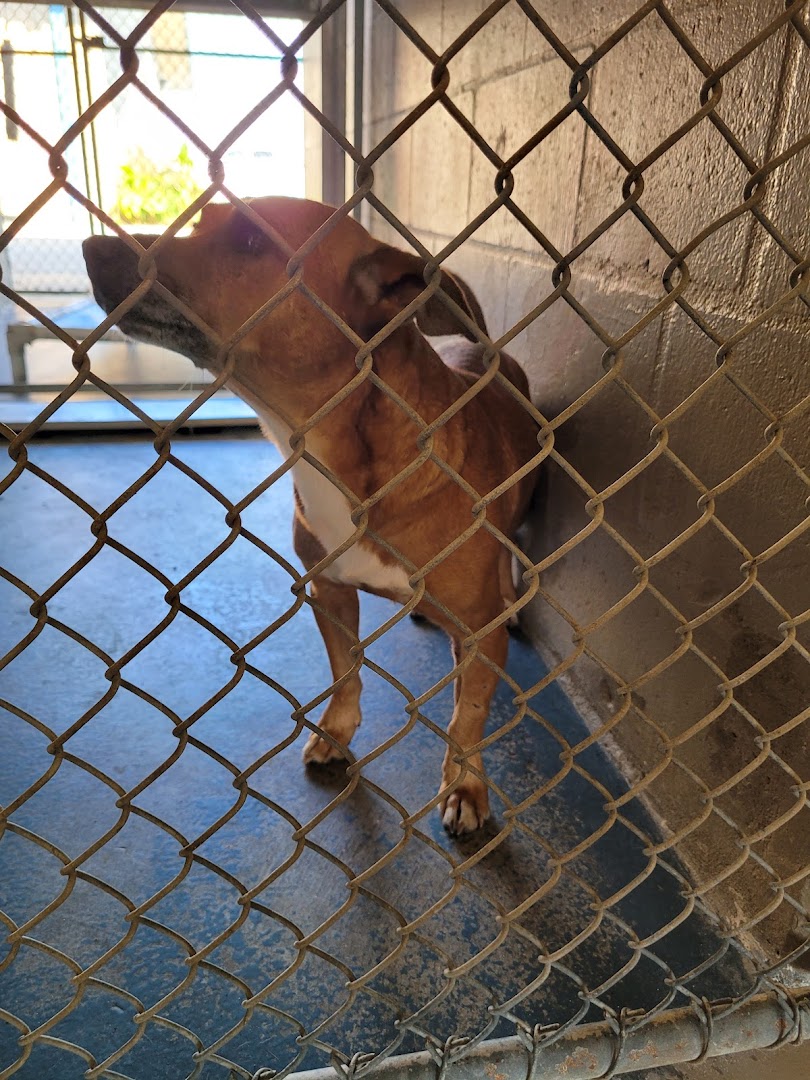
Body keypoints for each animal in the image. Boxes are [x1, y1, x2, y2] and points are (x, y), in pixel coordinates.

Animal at [83, 198, 539, 835]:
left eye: (251, 240)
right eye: (200, 220)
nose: (91, 247)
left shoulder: (478, 633)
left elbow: (466, 716)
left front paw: (466, 785)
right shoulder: (328, 590)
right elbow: (345, 671)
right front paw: (337, 732)